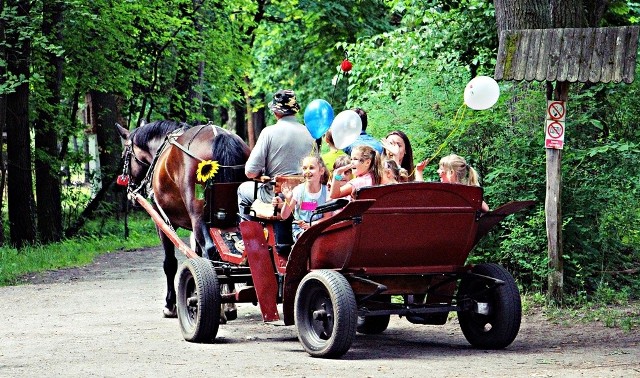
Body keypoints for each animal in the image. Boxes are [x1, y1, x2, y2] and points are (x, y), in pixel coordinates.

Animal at [116, 120, 249, 316]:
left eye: (125, 155)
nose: (130, 188)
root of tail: (220, 137)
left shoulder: (163, 221)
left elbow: (170, 263)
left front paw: (170, 304)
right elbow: (198, 254)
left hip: (197, 213)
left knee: (211, 251)